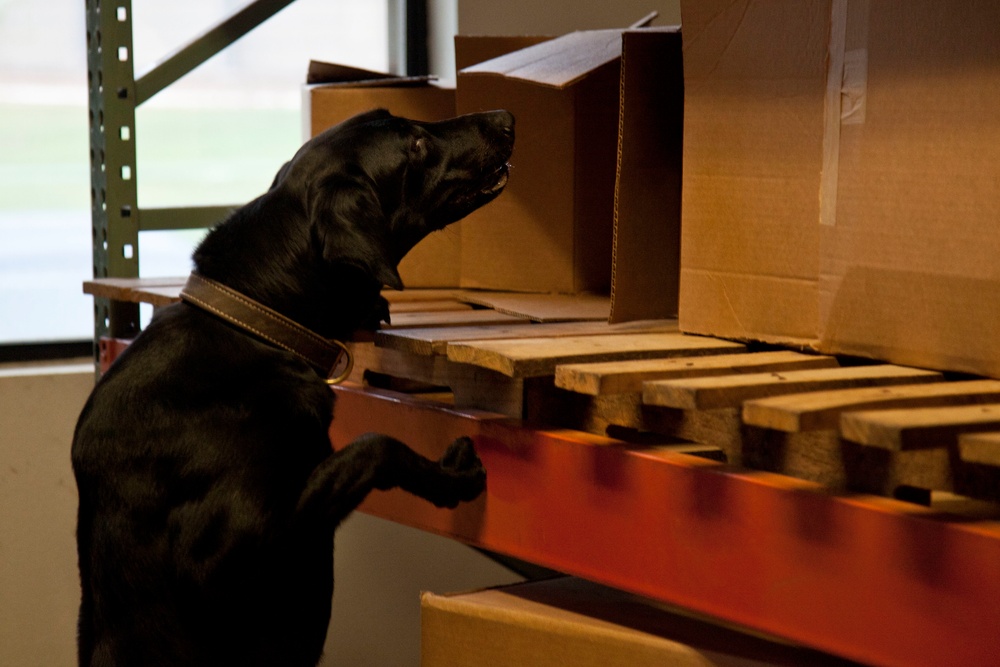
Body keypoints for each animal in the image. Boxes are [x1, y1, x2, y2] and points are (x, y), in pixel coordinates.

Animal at [74, 107, 516, 664]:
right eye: (415, 144)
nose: (505, 117)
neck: (255, 326)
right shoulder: (221, 563)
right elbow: (375, 445)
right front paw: (451, 477)